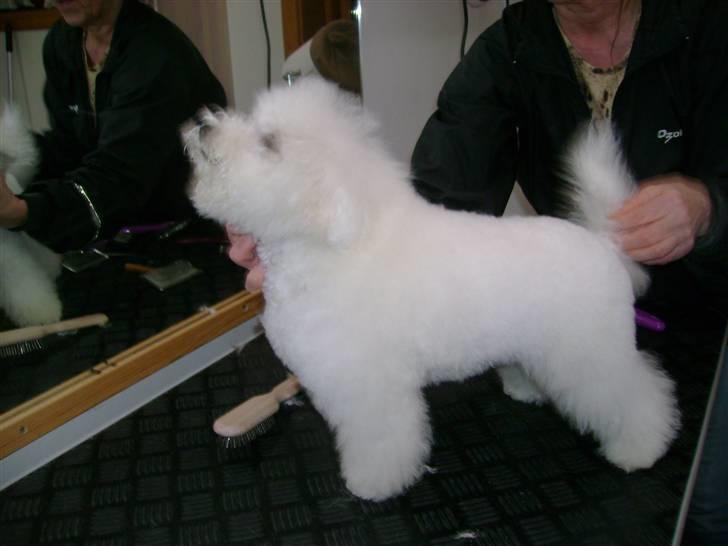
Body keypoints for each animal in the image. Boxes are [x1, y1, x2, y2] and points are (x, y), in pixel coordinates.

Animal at [185, 78, 680, 500]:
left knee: (636, 394)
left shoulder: (371, 387)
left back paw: (640, 448)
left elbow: (382, 439)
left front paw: (372, 484)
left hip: (591, 352)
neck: (331, 243)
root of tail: (605, 243)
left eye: (269, 142)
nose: (204, 123)